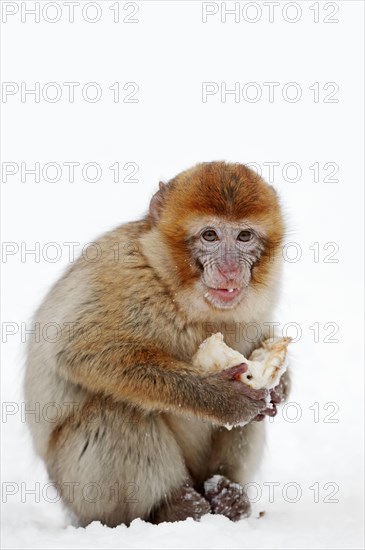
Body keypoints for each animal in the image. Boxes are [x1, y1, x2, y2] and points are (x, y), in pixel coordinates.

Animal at [24, 162, 288, 528]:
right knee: (115, 410)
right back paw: (176, 505)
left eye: (244, 236)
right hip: (83, 497)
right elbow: (81, 351)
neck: (175, 287)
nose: (230, 269)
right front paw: (223, 399)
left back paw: (225, 492)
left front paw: (281, 386)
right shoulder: (123, 276)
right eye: (210, 235)